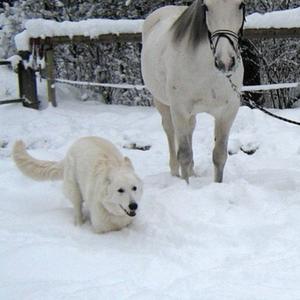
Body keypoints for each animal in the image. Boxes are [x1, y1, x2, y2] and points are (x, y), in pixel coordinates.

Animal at [12, 137, 143, 233]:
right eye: (120, 190)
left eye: (134, 188)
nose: (133, 206)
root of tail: (79, 140)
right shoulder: (100, 230)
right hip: (75, 191)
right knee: (77, 208)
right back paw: (79, 225)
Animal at [142, 0, 245, 183]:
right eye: (207, 7)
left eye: (240, 5)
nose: (225, 62)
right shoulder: (180, 110)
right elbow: (184, 155)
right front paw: (186, 186)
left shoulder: (227, 113)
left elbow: (219, 155)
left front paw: (217, 184)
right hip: (162, 103)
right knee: (170, 132)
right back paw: (175, 172)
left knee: (190, 130)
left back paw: (192, 172)